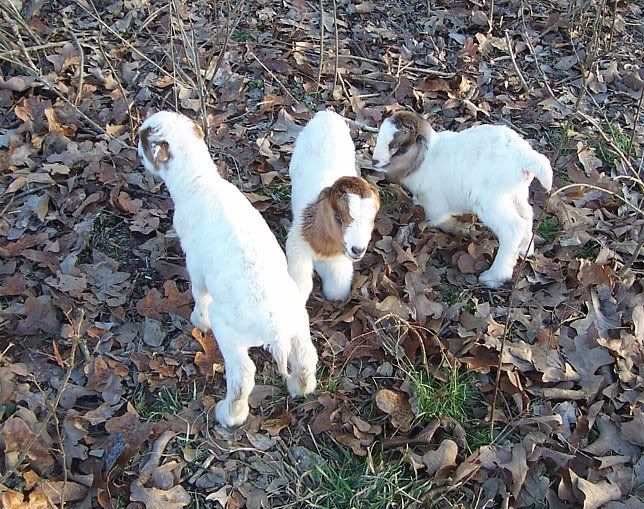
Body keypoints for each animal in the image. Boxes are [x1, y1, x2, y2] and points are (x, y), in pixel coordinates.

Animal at [138, 111, 318, 427]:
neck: (199, 181)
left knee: (243, 376)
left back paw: (228, 415)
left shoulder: (195, 261)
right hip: (298, 325)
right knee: (307, 358)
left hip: (230, 334)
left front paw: (198, 321)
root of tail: (275, 331)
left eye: (145, 138)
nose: (136, 142)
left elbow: (199, 292)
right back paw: (299, 388)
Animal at [286, 110, 380, 302]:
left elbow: (336, 290)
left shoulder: (339, 259)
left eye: (372, 219)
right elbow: (301, 286)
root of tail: (326, 114)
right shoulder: (297, 246)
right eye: (338, 217)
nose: (358, 249)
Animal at [372, 109, 552, 288]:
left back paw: (494, 277)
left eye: (401, 147)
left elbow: (434, 219)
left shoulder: (434, 202)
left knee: (513, 227)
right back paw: (525, 248)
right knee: (527, 214)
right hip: (515, 193)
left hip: (490, 201)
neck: (425, 158)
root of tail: (525, 157)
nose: (374, 161)